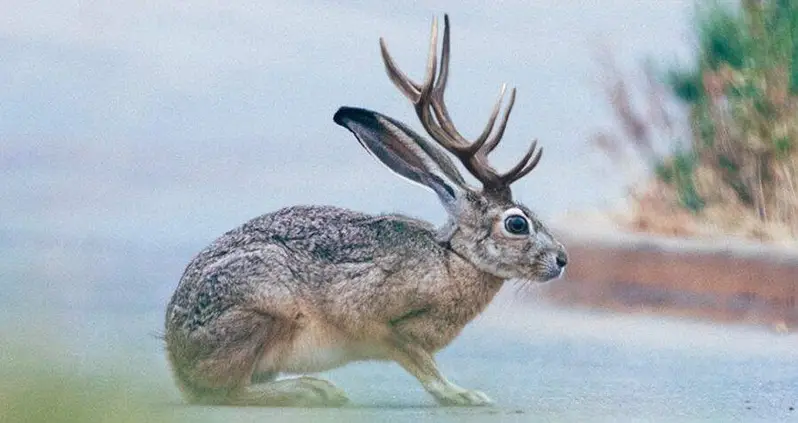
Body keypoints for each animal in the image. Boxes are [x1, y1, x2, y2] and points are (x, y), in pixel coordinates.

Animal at [164, 14, 567, 408]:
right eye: (516, 224)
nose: (562, 260)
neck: (454, 258)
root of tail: (177, 358)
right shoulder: (385, 325)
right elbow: (422, 363)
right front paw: (463, 395)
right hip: (263, 311)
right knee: (227, 391)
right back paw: (313, 390)